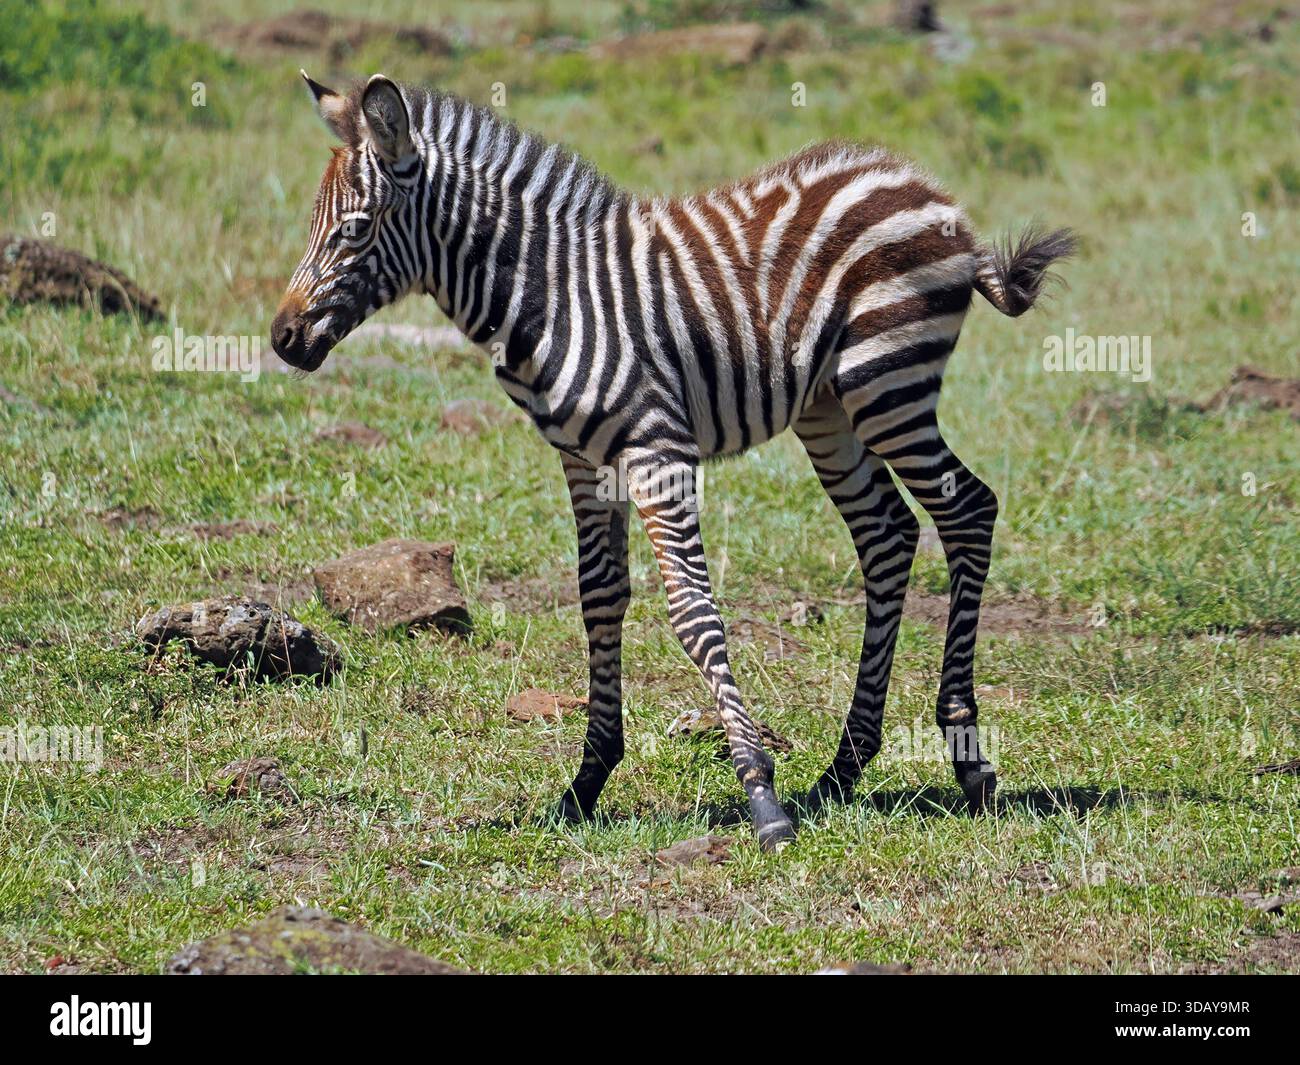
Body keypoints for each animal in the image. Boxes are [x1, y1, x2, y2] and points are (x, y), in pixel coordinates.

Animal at [271, 72, 1074, 850]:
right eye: (313, 226)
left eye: (352, 229)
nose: (282, 339)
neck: (550, 295)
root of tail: (920, 183)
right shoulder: (584, 461)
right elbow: (600, 599)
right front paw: (585, 784)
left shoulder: (659, 448)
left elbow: (692, 614)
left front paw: (761, 799)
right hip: (829, 410)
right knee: (888, 535)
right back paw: (843, 770)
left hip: (888, 382)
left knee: (967, 510)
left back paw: (967, 759)